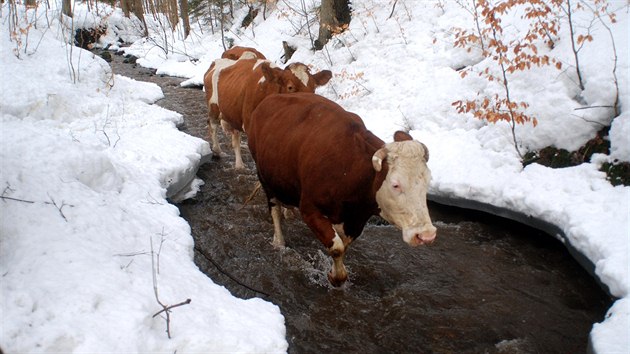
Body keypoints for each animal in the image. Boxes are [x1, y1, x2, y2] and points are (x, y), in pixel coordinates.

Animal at [204, 56, 334, 169]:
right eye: (290, 87)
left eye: (314, 88)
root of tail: (216, 61)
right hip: (214, 107)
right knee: (212, 125)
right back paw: (217, 151)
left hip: (233, 113)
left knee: (235, 136)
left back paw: (239, 165)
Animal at [248, 92, 440, 286]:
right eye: (395, 184)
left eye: (428, 181)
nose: (426, 235)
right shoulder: (310, 210)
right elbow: (337, 247)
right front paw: (336, 277)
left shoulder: (355, 220)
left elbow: (343, 246)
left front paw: (335, 272)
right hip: (265, 178)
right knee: (274, 211)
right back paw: (279, 241)